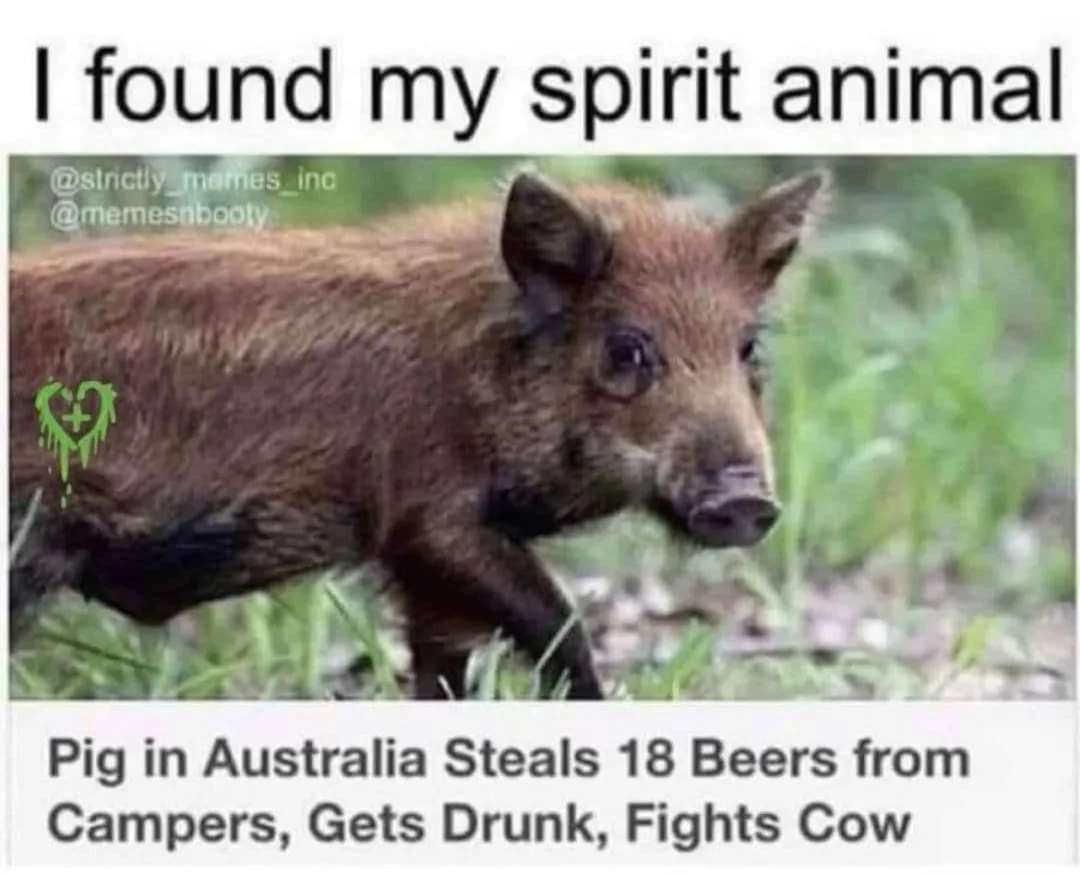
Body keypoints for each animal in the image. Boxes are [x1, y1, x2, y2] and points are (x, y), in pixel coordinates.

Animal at [8, 165, 830, 699]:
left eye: (748, 348)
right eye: (627, 349)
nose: (746, 501)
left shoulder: (426, 569)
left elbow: (446, 666)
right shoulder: (429, 520)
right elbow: (559, 626)